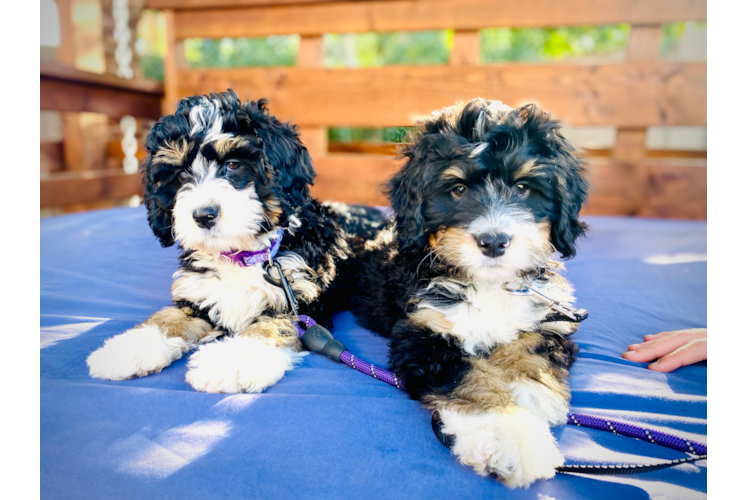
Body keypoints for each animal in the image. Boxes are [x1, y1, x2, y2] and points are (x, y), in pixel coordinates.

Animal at [86, 92, 386, 392]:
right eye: (181, 174)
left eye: (233, 164)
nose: (203, 215)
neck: (241, 254)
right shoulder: (199, 292)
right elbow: (170, 317)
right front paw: (134, 345)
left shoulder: (300, 301)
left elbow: (270, 326)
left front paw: (231, 361)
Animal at [350, 99, 592, 486]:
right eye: (458, 190)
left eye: (522, 188)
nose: (494, 241)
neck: (488, 283)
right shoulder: (423, 332)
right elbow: (472, 377)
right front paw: (510, 435)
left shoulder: (548, 313)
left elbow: (532, 341)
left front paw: (531, 387)